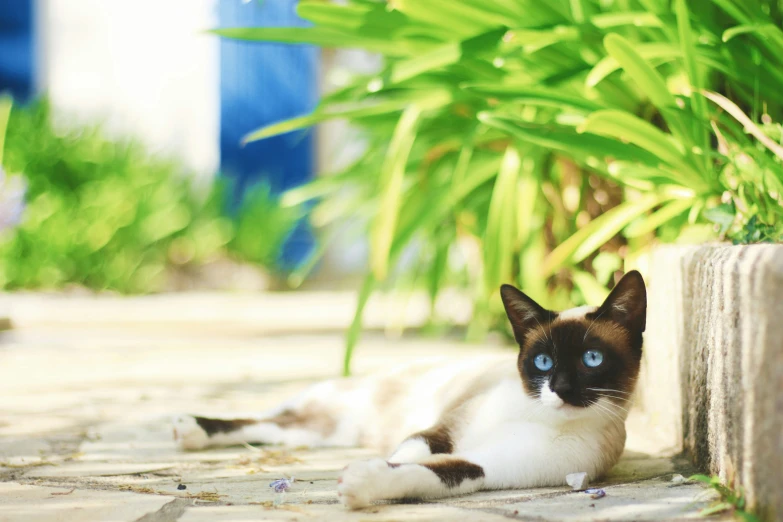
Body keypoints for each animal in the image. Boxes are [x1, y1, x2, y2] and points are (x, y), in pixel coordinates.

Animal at [175, 270, 648, 506]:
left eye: (591, 360)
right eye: (543, 362)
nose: (561, 388)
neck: (537, 417)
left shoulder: (487, 466)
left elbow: (429, 472)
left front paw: (366, 482)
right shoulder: (444, 429)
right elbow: (409, 453)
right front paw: (376, 468)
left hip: (323, 432)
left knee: (276, 427)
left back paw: (193, 431)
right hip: (333, 413)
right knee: (267, 416)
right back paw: (190, 428)